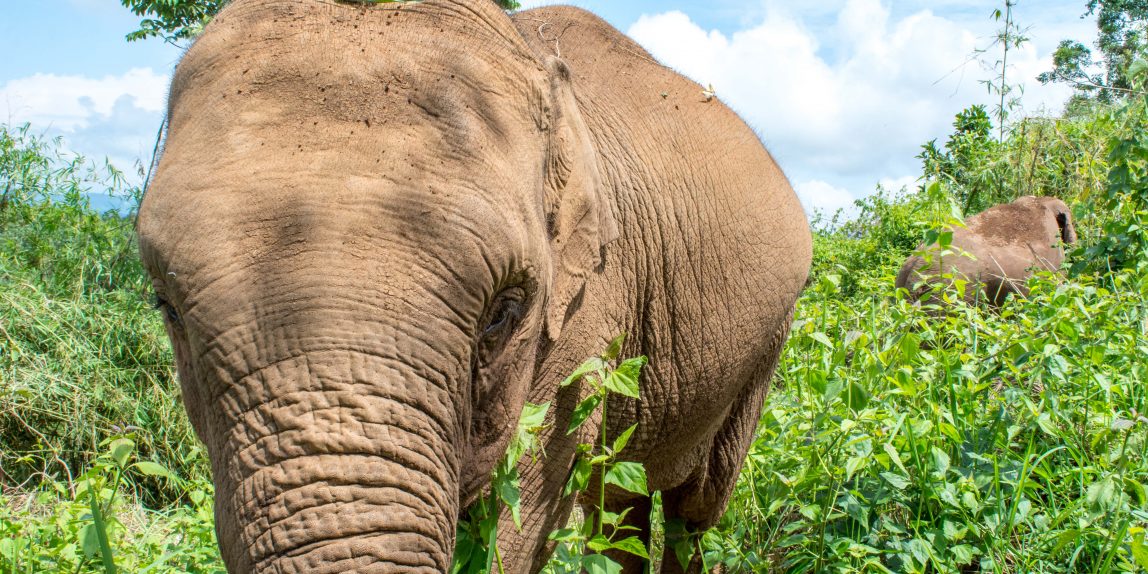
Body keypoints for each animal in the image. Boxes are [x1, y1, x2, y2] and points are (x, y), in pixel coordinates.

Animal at [136, 1, 811, 572]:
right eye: (166, 307)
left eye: (504, 312)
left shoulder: (587, 312)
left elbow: (524, 514)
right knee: (624, 497)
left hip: (764, 346)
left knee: (692, 506)